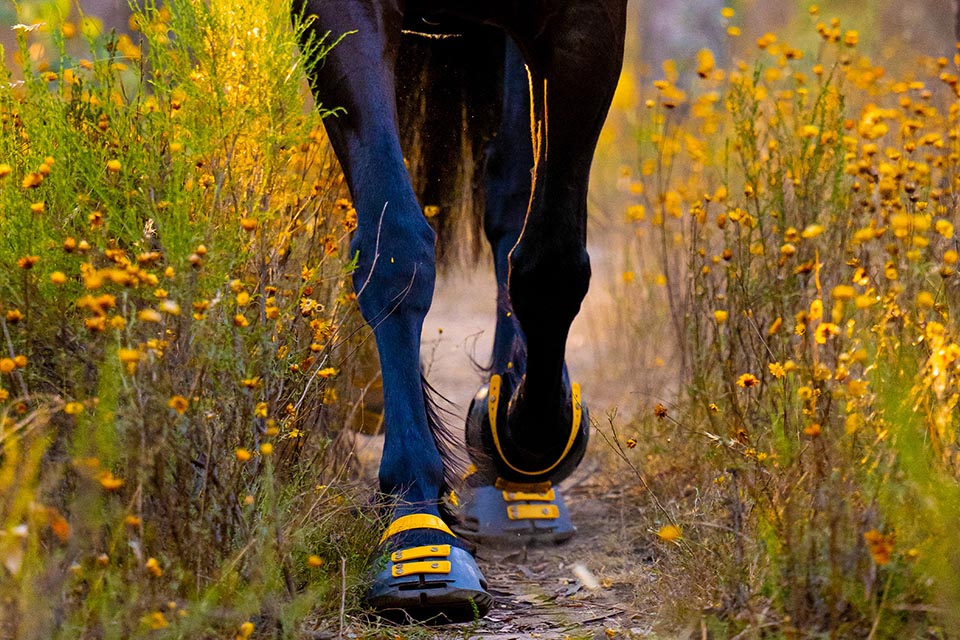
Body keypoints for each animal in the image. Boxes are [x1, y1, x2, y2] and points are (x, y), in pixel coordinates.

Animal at [292, 0, 627, 622]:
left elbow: (549, 263)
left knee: (511, 188)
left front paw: (517, 437)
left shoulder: (586, 25)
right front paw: (416, 528)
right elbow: (394, 248)